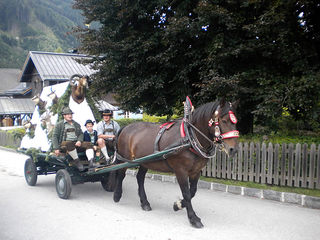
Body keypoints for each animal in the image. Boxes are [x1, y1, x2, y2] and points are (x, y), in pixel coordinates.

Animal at [114, 98, 239, 228]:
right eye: (224, 121)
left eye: (235, 121)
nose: (233, 149)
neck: (189, 138)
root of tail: (126, 127)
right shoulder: (180, 171)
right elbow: (186, 193)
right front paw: (193, 218)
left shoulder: (196, 171)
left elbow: (192, 191)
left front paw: (178, 205)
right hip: (125, 159)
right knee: (121, 174)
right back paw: (117, 195)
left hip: (146, 161)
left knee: (140, 178)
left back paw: (144, 203)